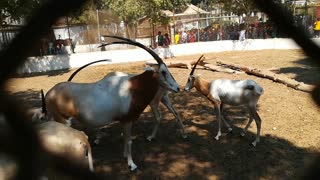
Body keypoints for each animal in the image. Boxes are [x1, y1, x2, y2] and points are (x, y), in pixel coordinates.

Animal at [42, 35, 180, 172]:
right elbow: (129, 141)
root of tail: (49, 93)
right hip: (63, 121)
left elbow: (125, 139)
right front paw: (132, 165)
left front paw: (125, 156)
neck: (133, 87)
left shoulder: (124, 121)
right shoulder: (127, 120)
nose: (177, 88)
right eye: (163, 72)